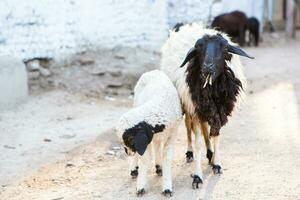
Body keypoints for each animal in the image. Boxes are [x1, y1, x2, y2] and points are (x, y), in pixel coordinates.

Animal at [159, 23, 253, 189]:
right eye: (198, 48)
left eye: (224, 48)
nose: (208, 66)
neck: (211, 88)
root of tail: (189, 26)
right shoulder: (194, 107)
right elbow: (197, 144)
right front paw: (197, 176)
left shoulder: (219, 113)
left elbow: (216, 136)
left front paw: (217, 164)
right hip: (188, 106)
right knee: (188, 126)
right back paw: (190, 152)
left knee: (204, 128)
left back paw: (210, 154)